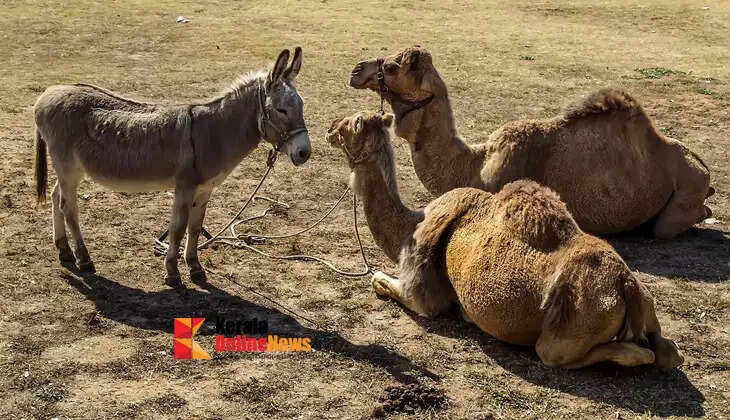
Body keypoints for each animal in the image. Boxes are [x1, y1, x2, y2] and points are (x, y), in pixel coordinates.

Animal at [34, 48, 311, 287]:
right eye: (281, 110)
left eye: (302, 106)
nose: (304, 153)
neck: (215, 132)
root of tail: (47, 94)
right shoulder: (184, 186)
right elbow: (178, 228)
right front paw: (173, 273)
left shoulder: (205, 189)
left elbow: (195, 228)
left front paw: (195, 268)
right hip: (67, 166)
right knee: (69, 208)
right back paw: (83, 259)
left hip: (70, 169)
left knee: (56, 196)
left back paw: (64, 250)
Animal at [326, 110, 683, 369]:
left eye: (350, 124)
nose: (329, 128)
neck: (411, 227)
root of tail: (626, 286)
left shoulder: (422, 294)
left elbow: (379, 281)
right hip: (645, 302)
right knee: (670, 353)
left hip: (563, 336)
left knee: (583, 354)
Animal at [349, 46, 714, 238]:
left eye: (392, 67)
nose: (356, 69)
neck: (475, 165)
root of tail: (703, 167)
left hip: (684, 194)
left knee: (670, 224)